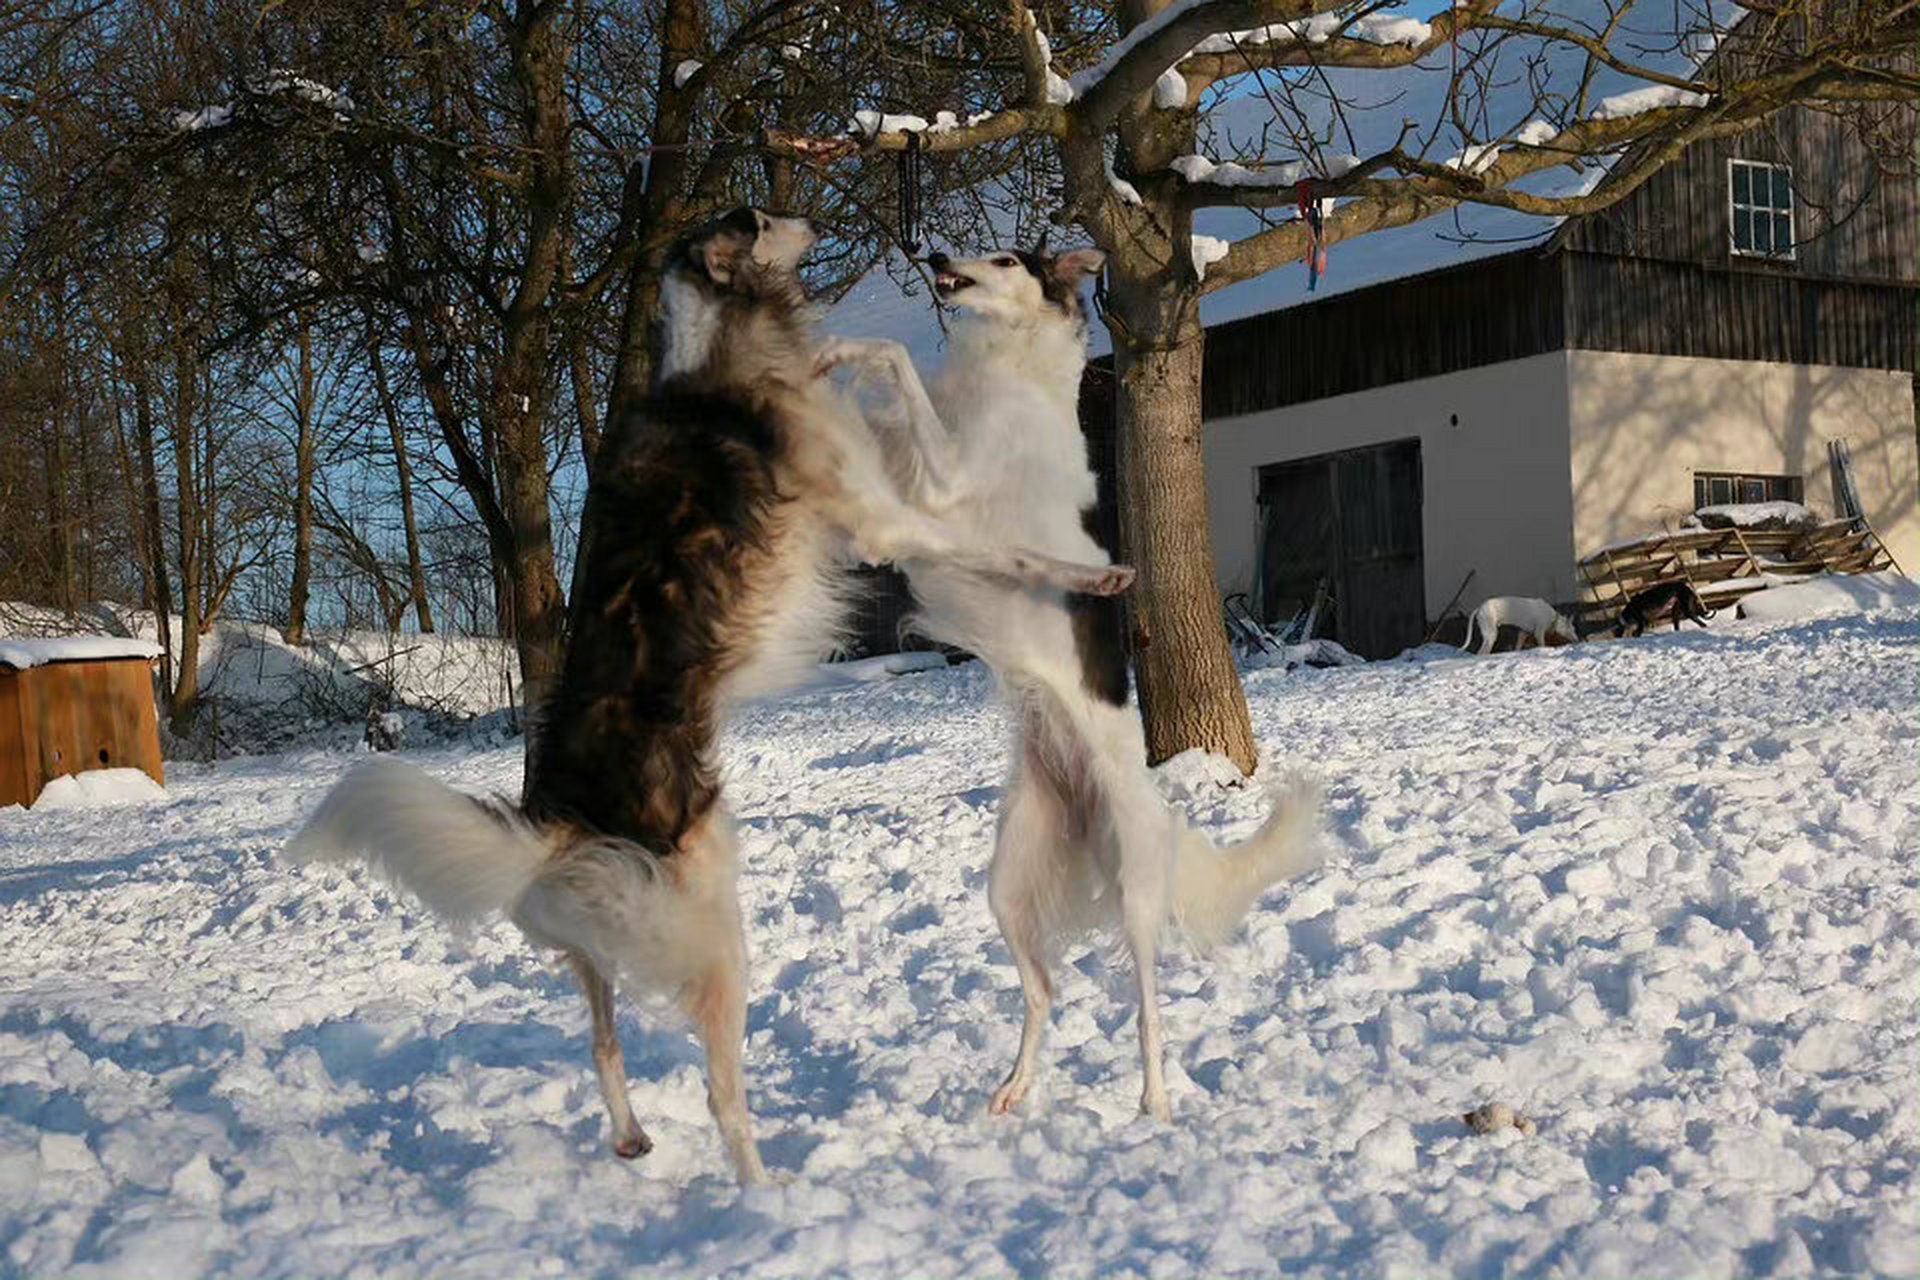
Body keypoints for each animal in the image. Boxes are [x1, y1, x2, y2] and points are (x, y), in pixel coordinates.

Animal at [284, 208, 1121, 1182]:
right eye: (758, 218)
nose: (815, 217)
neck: (722, 355)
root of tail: (556, 828)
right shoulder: (883, 520)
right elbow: (1011, 550)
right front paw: (1100, 577)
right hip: (715, 939)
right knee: (723, 1099)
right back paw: (762, 1193)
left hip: (599, 945)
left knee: (603, 1043)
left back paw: (631, 1136)